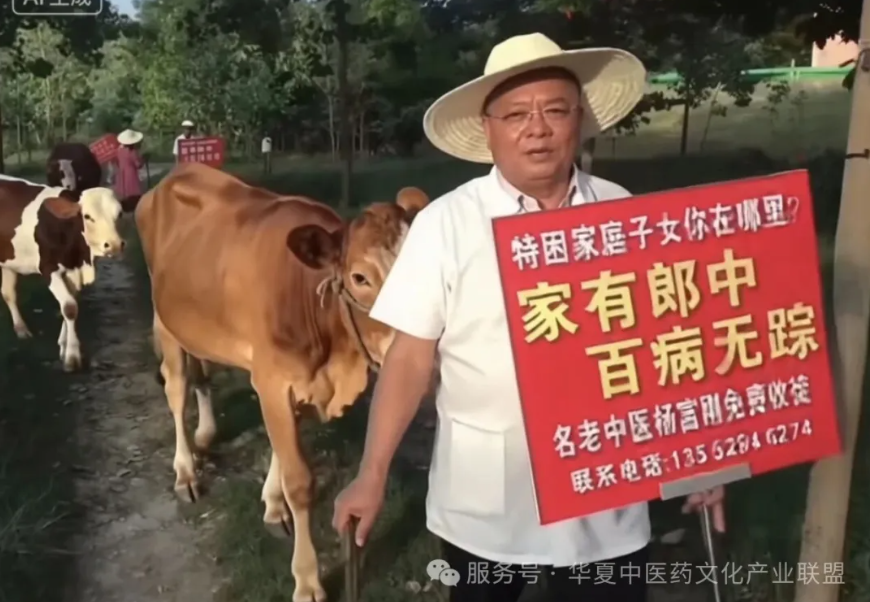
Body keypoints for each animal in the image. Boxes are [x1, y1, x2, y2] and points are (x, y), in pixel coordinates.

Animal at [0, 175, 129, 371]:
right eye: (87, 216)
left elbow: (70, 304)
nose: (114, 245)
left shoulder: (72, 271)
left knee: (8, 293)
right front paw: (72, 356)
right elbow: (69, 306)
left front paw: (63, 345)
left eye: (119, 214)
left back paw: (21, 329)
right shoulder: (49, 269)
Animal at [135, 162, 429, 602]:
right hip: (165, 321)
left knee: (201, 375)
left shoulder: (297, 385)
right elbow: (300, 482)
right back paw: (186, 471)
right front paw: (307, 581)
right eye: (360, 277)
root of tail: (179, 171)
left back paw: (206, 434)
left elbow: (281, 449)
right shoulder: (273, 381)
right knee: (176, 388)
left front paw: (273, 505)